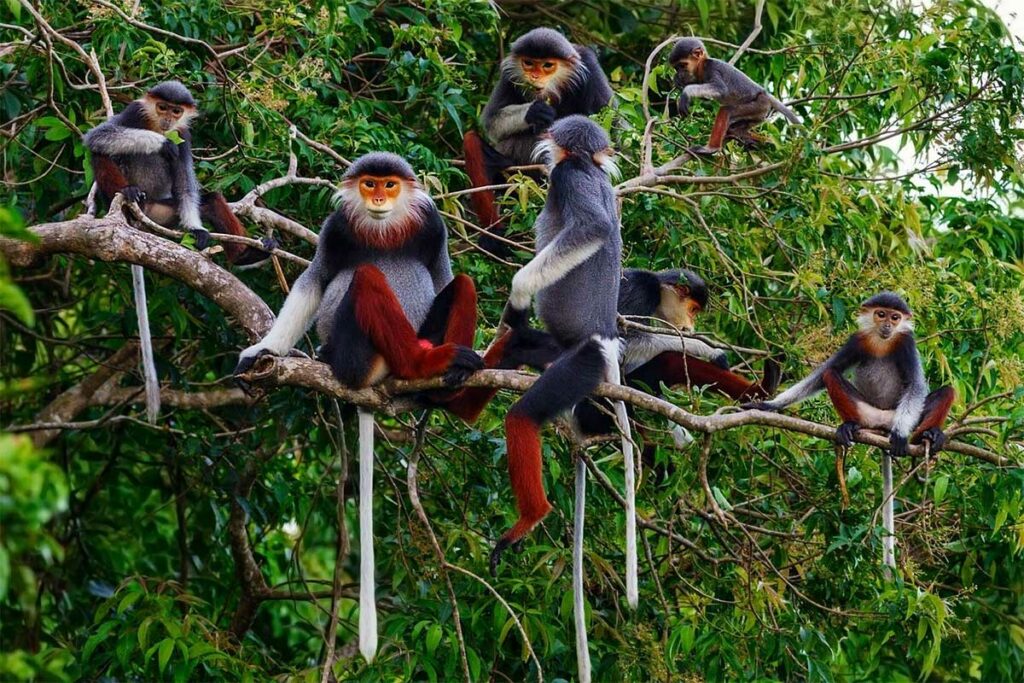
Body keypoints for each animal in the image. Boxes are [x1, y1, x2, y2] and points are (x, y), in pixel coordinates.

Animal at [235, 150, 483, 663]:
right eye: (369, 183)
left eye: (389, 185)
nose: (378, 200)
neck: (382, 231)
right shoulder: (335, 229)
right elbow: (314, 283)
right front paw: (264, 350)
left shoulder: (431, 227)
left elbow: (446, 276)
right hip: (359, 356)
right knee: (367, 276)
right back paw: (425, 362)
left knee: (463, 284)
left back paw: (443, 385)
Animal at [462, 26, 610, 255]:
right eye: (529, 63)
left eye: (548, 65)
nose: (534, 75)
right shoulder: (508, 75)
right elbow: (492, 121)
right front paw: (535, 111)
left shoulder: (590, 67)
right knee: (471, 141)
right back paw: (493, 237)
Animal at [667, 37, 802, 156]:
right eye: (676, 68)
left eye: (682, 65)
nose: (680, 73)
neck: (701, 66)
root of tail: (765, 94)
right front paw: (678, 80)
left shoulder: (711, 68)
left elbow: (720, 89)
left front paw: (686, 92)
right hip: (759, 114)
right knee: (736, 127)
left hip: (758, 106)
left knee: (726, 110)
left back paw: (711, 148)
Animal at [745, 290, 950, 456]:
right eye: (881, 314)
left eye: (895, 317)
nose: (888, 326)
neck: (881, 343)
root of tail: (883, 422)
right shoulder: (857, 341)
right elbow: (821, 375)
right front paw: (768, 405)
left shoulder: (906, 343)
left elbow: (916, 385)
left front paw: (900, 434)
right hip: (867, 413)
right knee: (830, 373)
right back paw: (850, 426)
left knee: (948, 391)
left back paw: (929, 435)